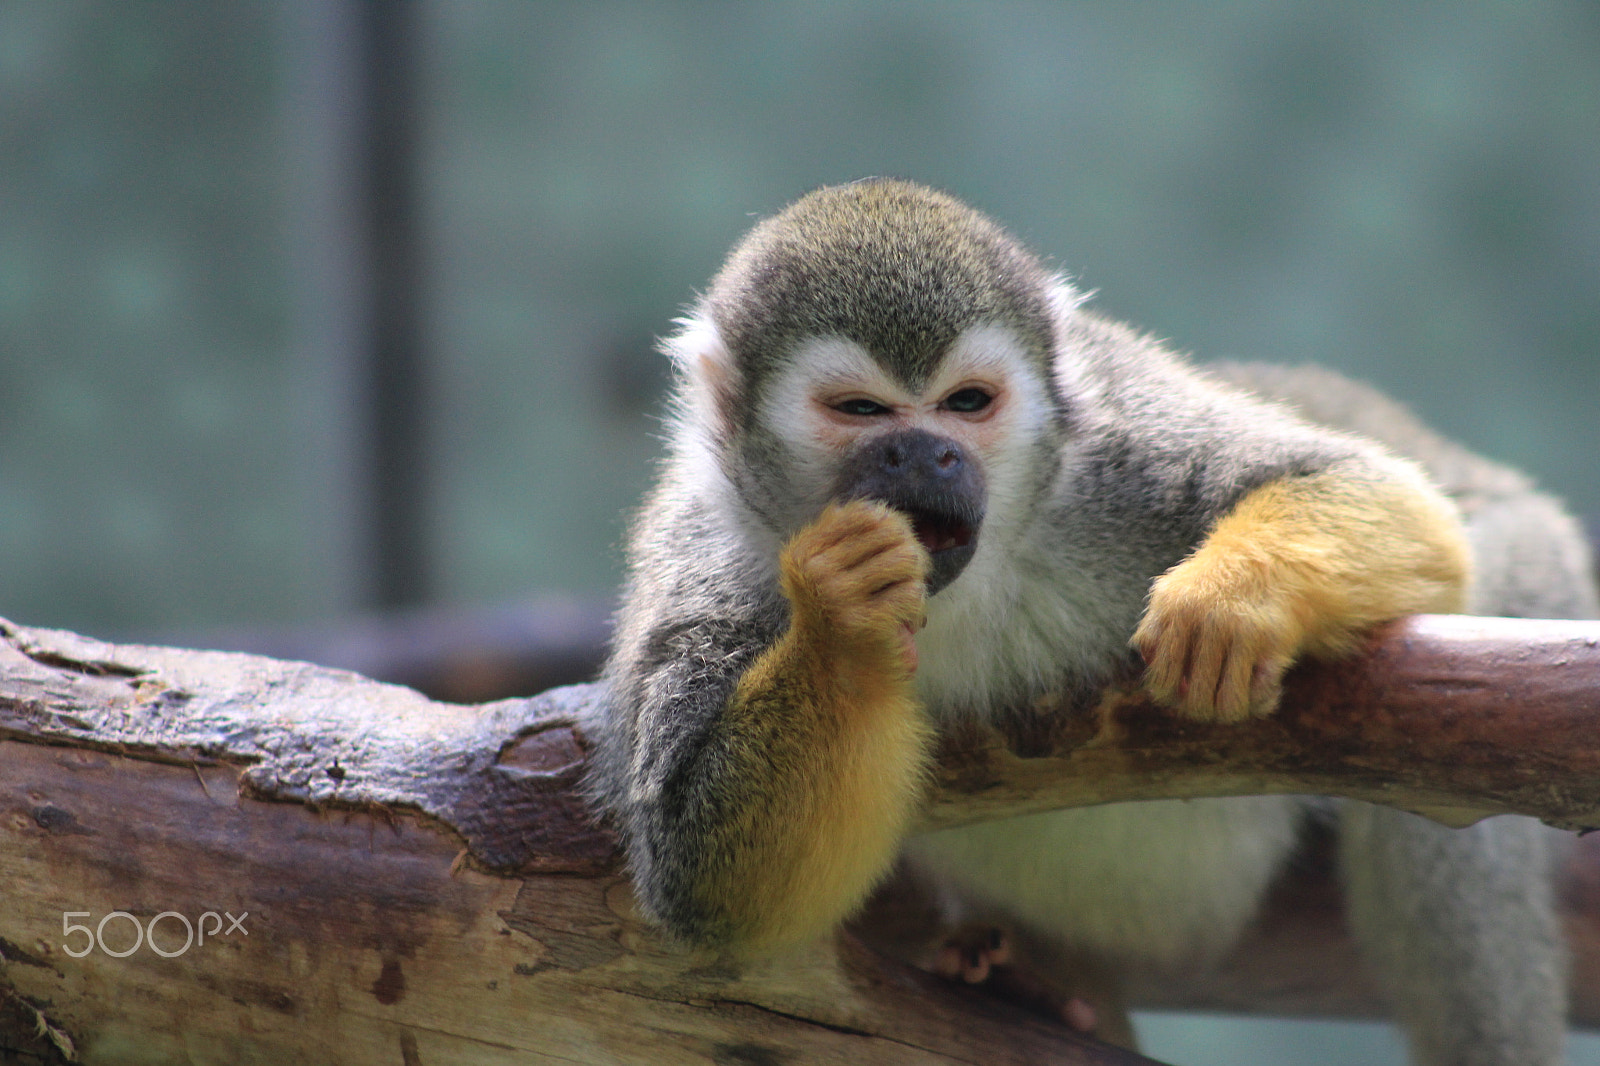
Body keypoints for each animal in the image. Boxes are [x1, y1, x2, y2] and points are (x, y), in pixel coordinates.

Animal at [585, 178, 1591, 1064]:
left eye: (967, 403)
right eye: (861, 411)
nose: (926, 454)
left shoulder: (1111, 459)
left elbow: (1373, 491)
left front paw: (1235, 601)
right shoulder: (704, 552)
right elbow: (711, 888)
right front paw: (842, 619)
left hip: (1534, 560)